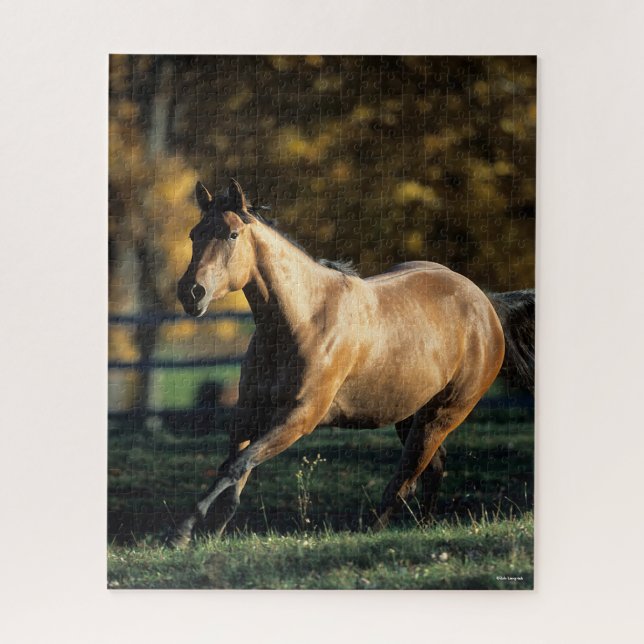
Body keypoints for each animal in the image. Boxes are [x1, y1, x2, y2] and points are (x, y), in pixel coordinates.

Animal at [173, 178, 534, 546]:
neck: (303, 319)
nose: (191, 292)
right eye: (194, 234)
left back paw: (369, 532)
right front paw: (210, 532)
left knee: (406, 479)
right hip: (409, 414)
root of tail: (486, 304)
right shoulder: (249, 412)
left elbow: (236, 466)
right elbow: (235, 470)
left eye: (232, 234)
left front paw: (184, 530)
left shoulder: (300, 417)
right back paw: (422, 526)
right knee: (431, 467)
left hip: (441, 416)